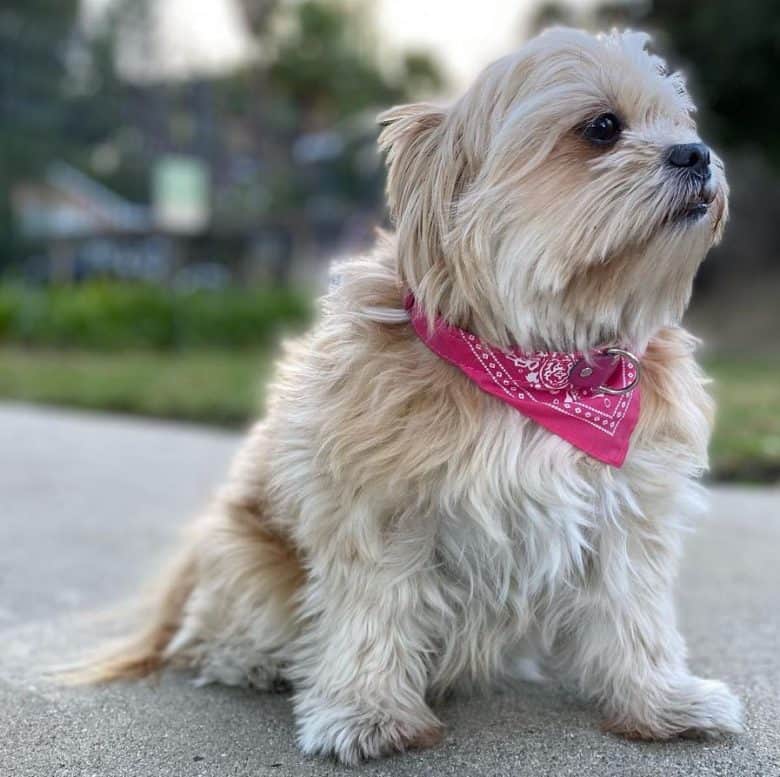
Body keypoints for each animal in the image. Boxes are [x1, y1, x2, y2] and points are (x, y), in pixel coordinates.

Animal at [80, 27, 744, 760]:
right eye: (602, 127)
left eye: (682, 124)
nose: (698, 153)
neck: (543, 364)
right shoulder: (379, 511)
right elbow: (375, 608)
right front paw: (368, 710)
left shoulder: (627, 513)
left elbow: (635, 612)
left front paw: (660, 699)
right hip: (247, 555)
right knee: (213, 637)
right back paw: (252, 661)